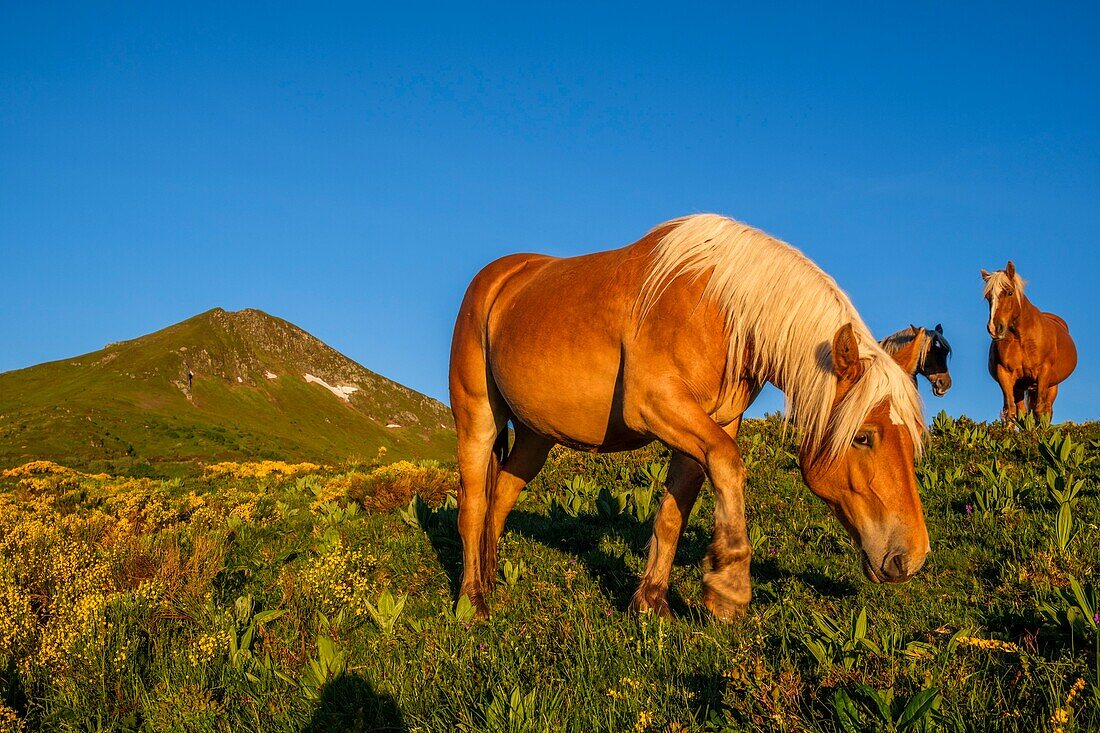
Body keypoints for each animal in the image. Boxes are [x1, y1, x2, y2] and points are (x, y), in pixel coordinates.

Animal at [448, 214, 928, 620]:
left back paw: (489, 580)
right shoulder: (656, 406)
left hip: (536, 435)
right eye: (864, 436)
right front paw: (728, 586)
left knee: (502, 494)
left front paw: (651, 602)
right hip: (478, 417)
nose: (910, 558)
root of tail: (500, 279)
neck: (720, 307)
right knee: (473, 504)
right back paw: (473, 601)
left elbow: (673, 512)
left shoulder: (710, 422)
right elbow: (730, 463)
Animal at [981, 259, 1073, 420]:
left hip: (1052, 385)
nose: (994, 328)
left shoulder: (1043, 373)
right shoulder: (1005, 374)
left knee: (1047, 410)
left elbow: (1040, 410)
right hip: (1020, 385)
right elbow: (1010, 410)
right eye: (988, 296)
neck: (1021, 338)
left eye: (1010, 292)